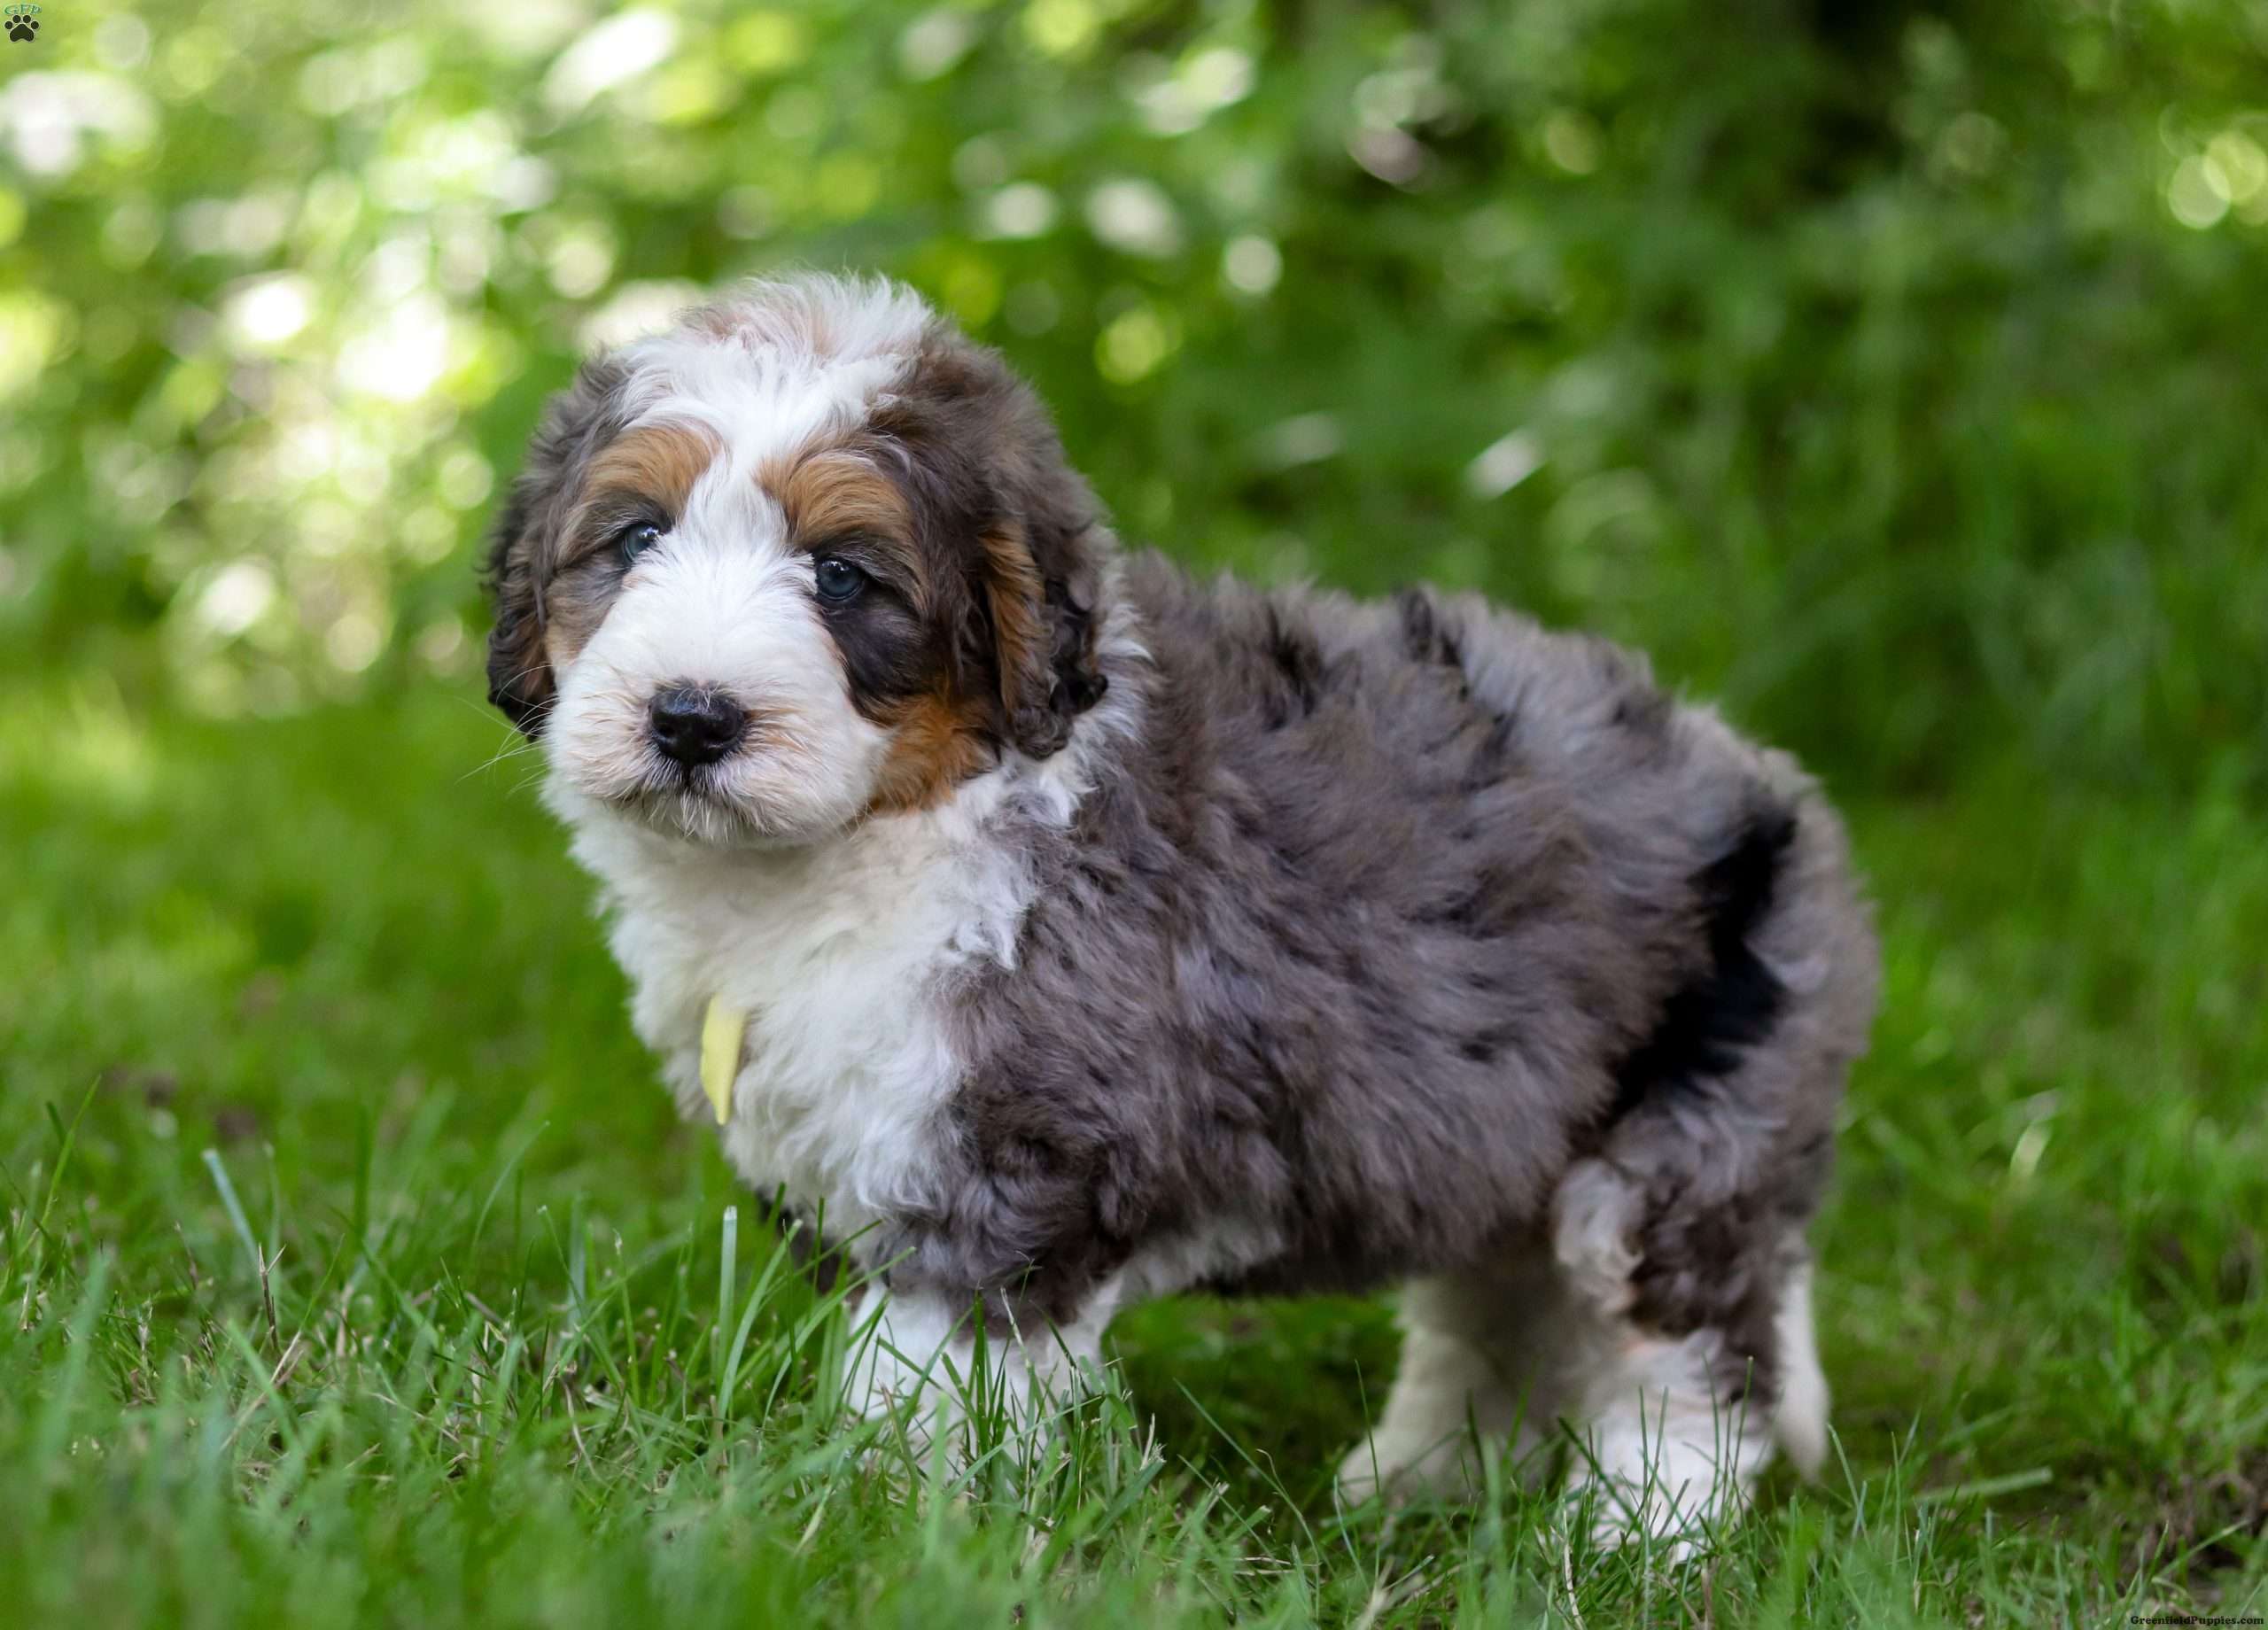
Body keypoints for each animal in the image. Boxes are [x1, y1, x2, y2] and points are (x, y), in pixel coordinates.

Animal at [478, 274, 1877, 1550]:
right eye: (634, 540)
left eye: (840, 575)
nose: (691, 717)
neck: (876, 836)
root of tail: (1781, 790)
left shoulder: (1015, 1163)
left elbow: (933, 1374)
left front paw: (894, 1521)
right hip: (1502, 1134)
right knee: (1502, 1311)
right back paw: (1422, 1484)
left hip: (1688, 1144)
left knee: (1688, 1359)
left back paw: (1636, 1535)